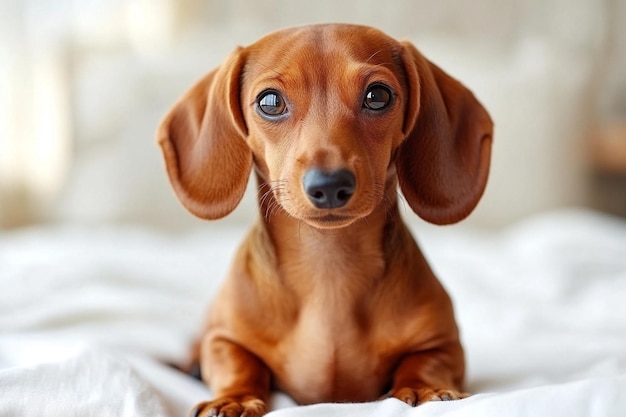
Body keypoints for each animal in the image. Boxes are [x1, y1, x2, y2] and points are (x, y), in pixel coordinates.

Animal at [156, 23, 488, 416]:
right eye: (270, 102)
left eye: (378, 95)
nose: (329, 185)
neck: (328, 267)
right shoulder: (223, 338)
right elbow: (236, 361)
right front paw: (233, 399)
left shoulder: (444, 342)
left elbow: (427, 360)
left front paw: (427, 389)